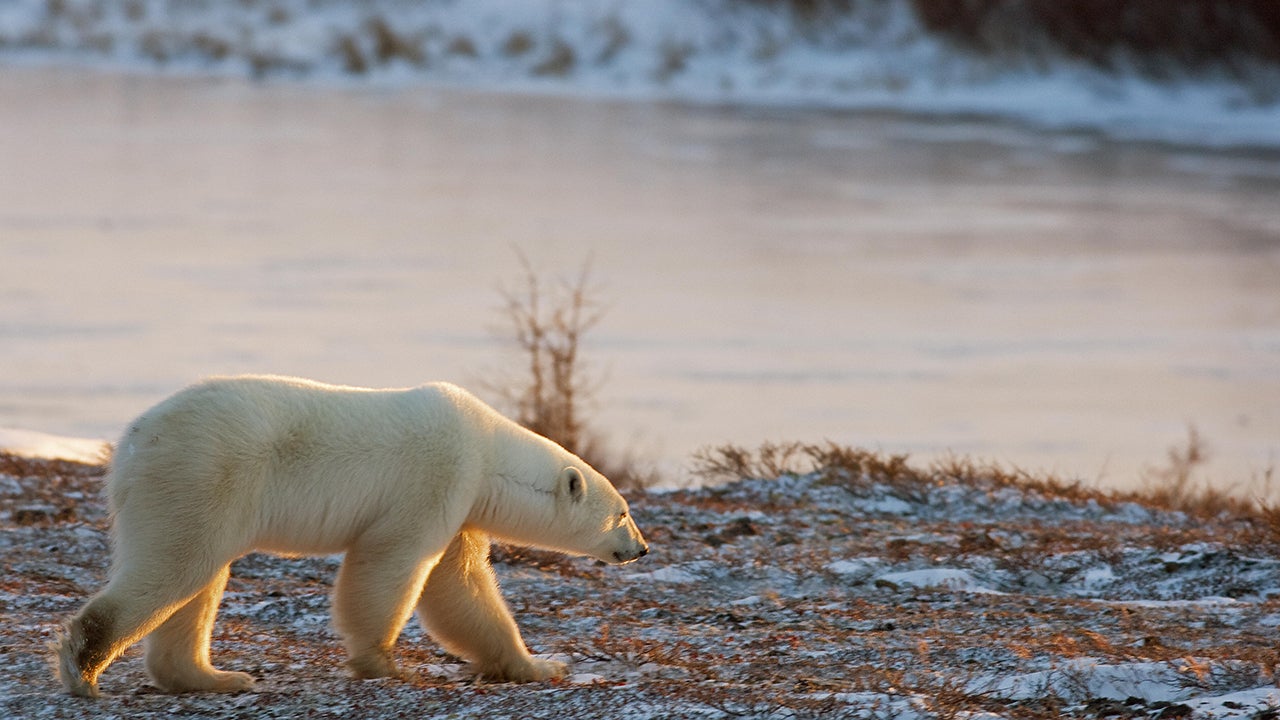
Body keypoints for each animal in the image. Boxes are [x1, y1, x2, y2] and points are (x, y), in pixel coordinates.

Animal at [54, 375, 649, 698]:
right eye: (622, 513)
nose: (641, 548)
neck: (488, 449)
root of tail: (133, 440)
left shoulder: (463, 507)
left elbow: (462, 589)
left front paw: (540, 664)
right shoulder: (438, 478)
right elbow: (393, 564)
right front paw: (385, 664)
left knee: (198, 579)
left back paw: (216, 677)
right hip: (203, 473)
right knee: (177, 565)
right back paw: (84, 668)